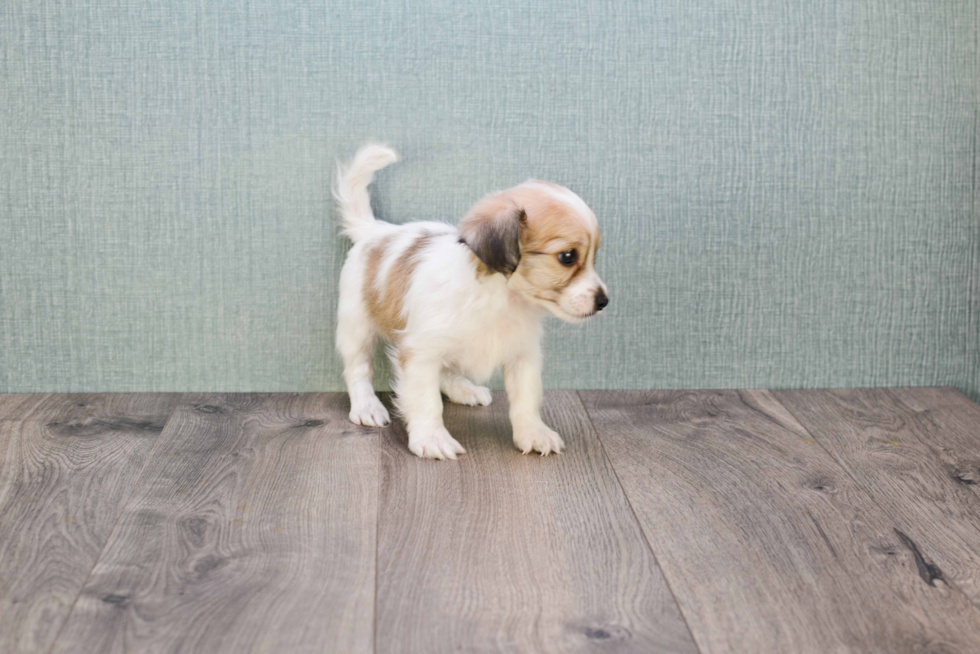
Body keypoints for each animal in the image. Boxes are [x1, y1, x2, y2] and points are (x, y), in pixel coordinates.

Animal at [334, 145, 604, 462]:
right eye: (567, 257)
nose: (604, 301)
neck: (501, 300)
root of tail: (375, 230)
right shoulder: (419, 354)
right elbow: (425, 401)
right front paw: (432, 438)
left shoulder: (523, 356)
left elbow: (526, 399)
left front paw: (533, 433)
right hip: (356, 327)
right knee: (358, 368)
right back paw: (366, 406)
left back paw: (464, 389)